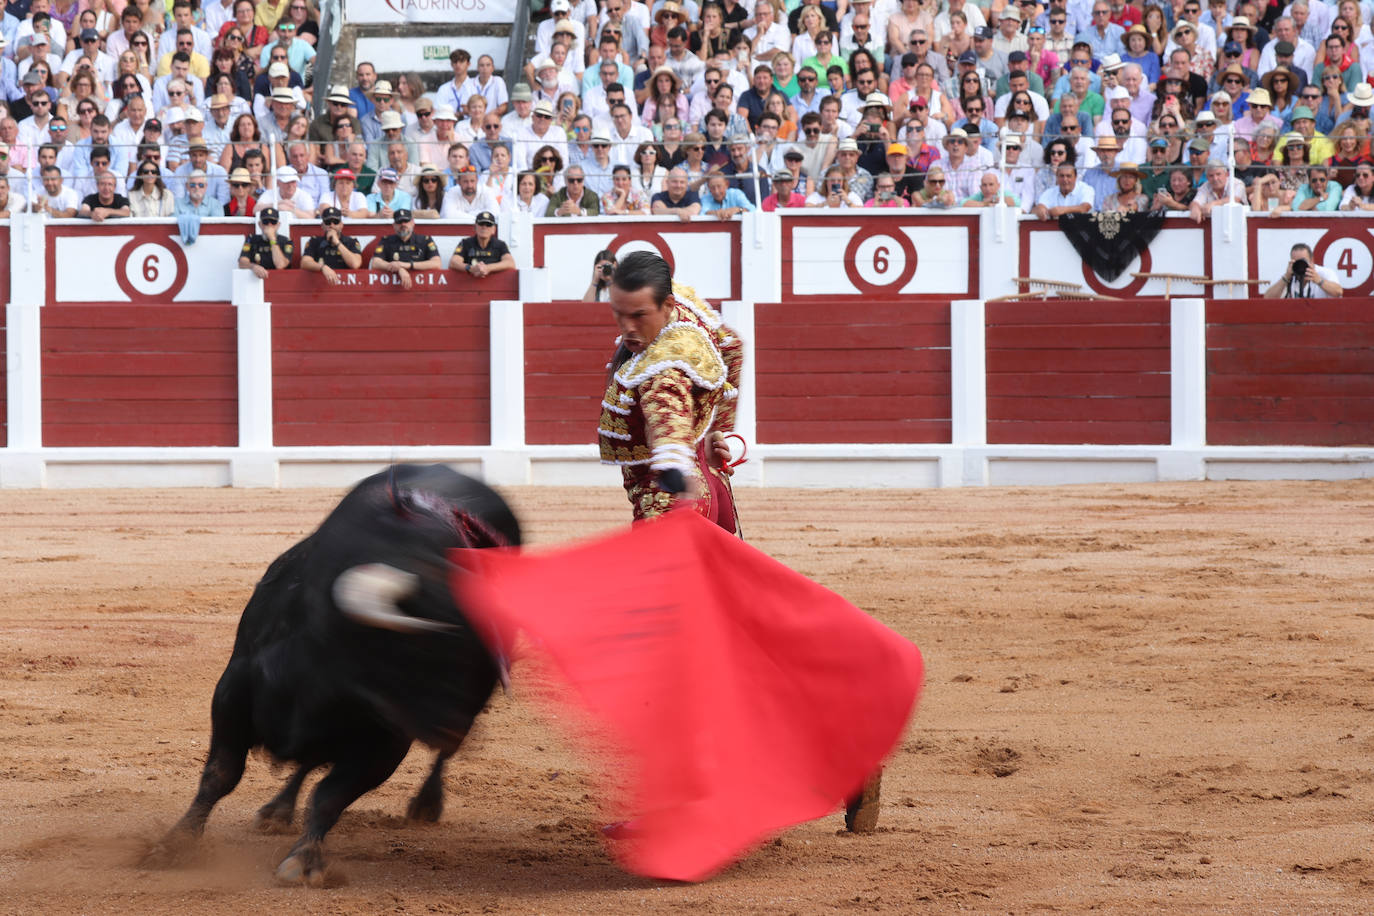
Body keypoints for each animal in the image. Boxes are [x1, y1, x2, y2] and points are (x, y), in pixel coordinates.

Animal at [144, 469, 519, 884]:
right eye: (421, 649)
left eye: (486, 664)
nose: (455, 731)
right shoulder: (231, 695)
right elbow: (221, 774)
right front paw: (174, 844)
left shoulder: (385, 744)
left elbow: (329, 797)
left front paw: (304, 860)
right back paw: (278, 810)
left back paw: (426, 803)